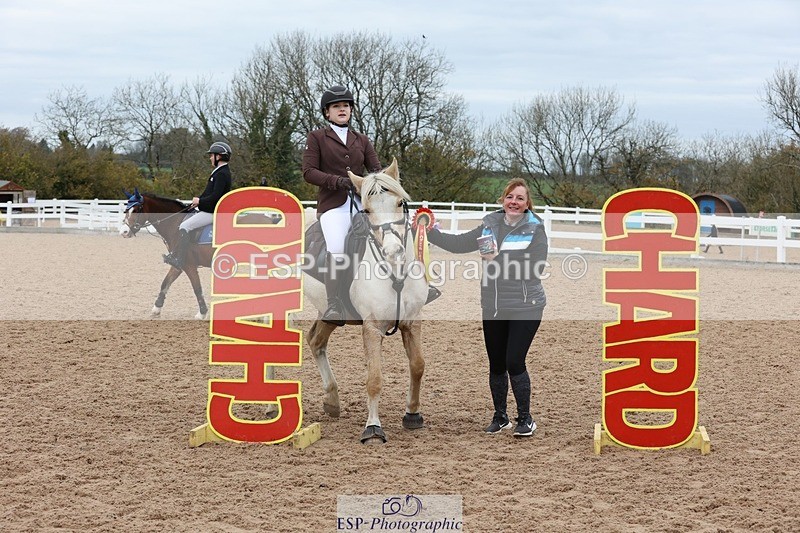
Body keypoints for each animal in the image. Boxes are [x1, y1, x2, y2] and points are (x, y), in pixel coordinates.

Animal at [119, 189, 213, 319]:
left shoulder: (189, 265)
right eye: (126, 210)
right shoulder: (178, 263)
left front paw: (202, 313)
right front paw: (157, 308)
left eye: (137, 210)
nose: (123, 232)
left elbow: (197, 288)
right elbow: (165, 283)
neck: (176, 224)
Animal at [303, 159, 428, 444]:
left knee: (316, 341)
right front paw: (373, 428)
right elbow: (375, 378)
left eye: (400, 203)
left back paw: (332, 400)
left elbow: (417, 366)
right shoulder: (372, 328)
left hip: (329, 312)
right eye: (367, 210)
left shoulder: (411, 322)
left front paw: (412, 414)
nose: (394, 252)